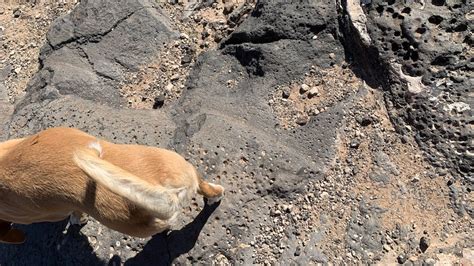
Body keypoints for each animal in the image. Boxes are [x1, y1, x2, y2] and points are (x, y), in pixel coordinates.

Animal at [0, 128, 225, 244]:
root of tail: (167, 195)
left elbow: (74, 214)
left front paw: (76, 220)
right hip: (178, 164)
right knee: (204, 186)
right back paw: (215, 195)